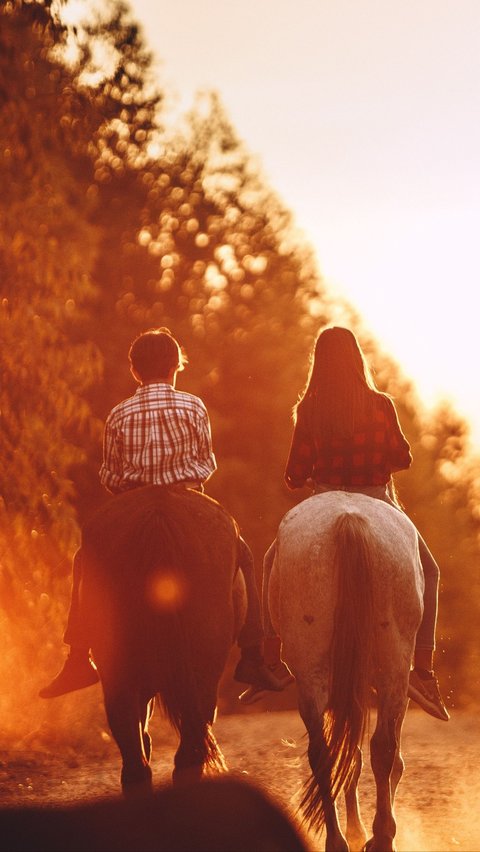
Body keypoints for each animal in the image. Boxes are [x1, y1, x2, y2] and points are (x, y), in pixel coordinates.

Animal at [270, 490, 424, 852]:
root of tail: (348, 520)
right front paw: (361, 831)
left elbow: (350, 754)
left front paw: (357, 831)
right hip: (393, 667)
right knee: (380, 748)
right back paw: (376, 836)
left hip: (315, 673)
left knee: (327, 753)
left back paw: (341, 839)